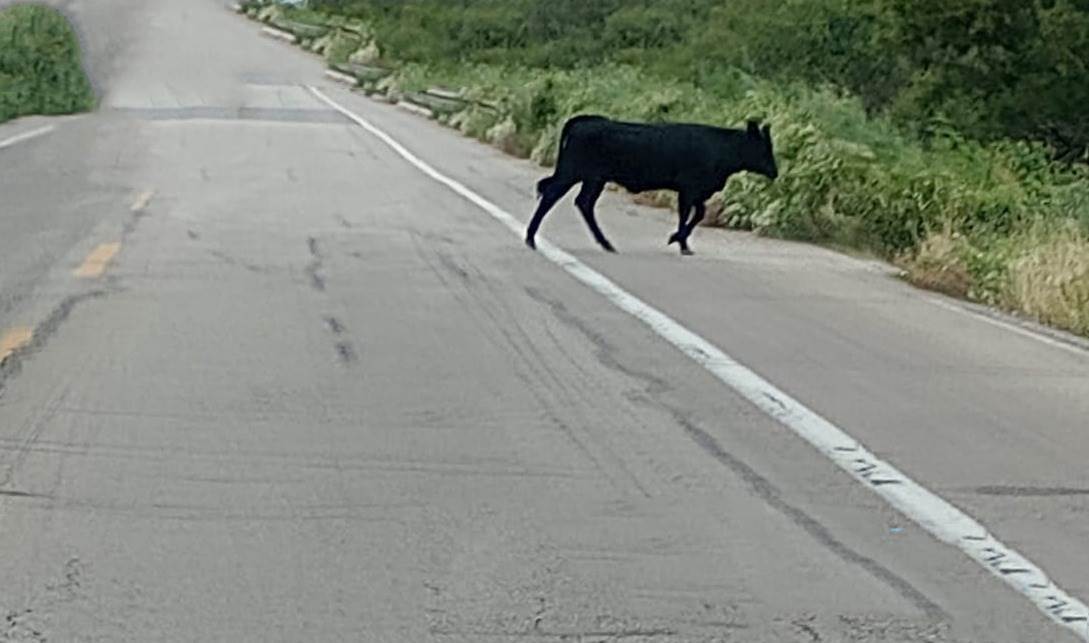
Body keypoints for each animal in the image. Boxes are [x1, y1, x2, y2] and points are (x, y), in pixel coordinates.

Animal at [524, 114, 775, 256]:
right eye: (763, 148)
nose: (775, 171)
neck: (719, 148)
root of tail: (584, 121)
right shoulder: (689, 188)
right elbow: (688, 214)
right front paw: (680, 242)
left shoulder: (697, 191)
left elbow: (697, 214)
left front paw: (680, 240)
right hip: (573, 172)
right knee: (551, 195)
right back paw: (530, 238)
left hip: (594, 179)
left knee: (583, 203)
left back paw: (606, 243)